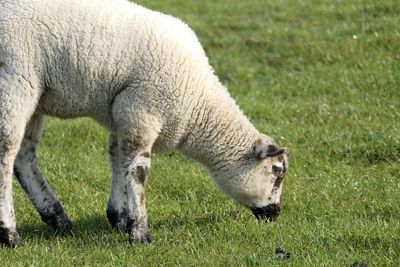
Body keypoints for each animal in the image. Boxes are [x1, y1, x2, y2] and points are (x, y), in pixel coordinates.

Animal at [0, 0, 288, 247]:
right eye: (276, 172)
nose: (276, 213)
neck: (198, 103)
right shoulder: (142, 111)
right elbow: (138, 172)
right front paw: (140, 233)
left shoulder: (123, 113)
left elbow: (119, 160)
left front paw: (119, 218)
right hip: (14, 81)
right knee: (7, 152)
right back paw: (10, 234)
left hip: (37, 95)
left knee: (24, 156)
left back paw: (57, 217)